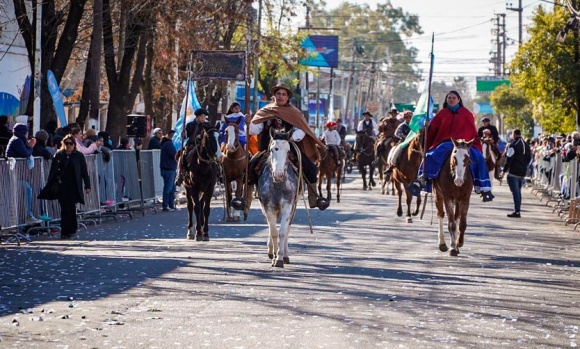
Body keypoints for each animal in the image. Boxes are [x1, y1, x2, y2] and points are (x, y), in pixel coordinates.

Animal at [260, 130, 304, 266]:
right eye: (272, 149)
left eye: (288, 151)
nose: (278, 175)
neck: (278, 185)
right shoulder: (268, 207)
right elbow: (274, 232)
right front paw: (274, 256)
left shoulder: (287, 206)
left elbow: (283, 232)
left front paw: (280, 258)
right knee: (270, 226)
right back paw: (271, 251)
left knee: (287, 228)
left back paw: (285, 255)